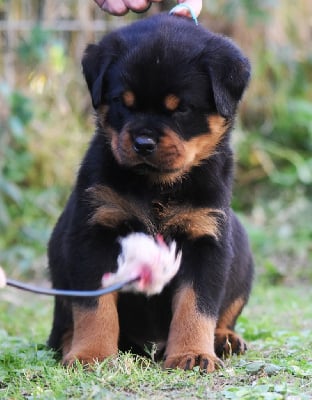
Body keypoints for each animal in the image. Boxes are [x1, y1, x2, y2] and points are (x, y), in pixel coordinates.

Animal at [48, 14, 254, 374]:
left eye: (181, 109)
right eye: (122, 103)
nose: (143, 142)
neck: (155, 185)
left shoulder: (207, 238)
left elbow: (196, 306)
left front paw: (192, 354)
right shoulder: (93, 234)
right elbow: (95, 307)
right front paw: (91, 355)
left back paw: (225, 339)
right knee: (64, 320)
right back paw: (69, 343)